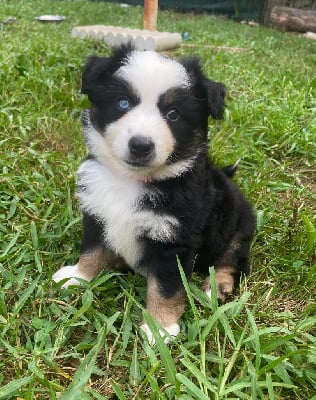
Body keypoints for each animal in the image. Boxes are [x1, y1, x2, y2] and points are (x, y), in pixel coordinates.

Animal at [53, 43, 256, 344]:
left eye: (173, 114)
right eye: (123, 103)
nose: (140, 145)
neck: (132, 181)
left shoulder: (175, 241)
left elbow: (166, 289)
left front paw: (160, 329)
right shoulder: (97, 215)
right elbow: (91, 250)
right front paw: (77, 276)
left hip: (237, 229)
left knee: (231, 261)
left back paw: (217, 286)